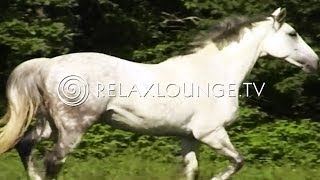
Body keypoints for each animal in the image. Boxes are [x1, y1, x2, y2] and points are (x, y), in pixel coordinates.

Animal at [0, 7, 318, 179]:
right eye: (292, 34)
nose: (315, 63)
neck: (213, 72)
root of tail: (48, 64)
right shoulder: (212, 133)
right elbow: (238, 161)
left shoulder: (189, 138)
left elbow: (192, 172)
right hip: (72, 128)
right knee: (53, 161)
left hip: (49, 125)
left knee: (25, 145)